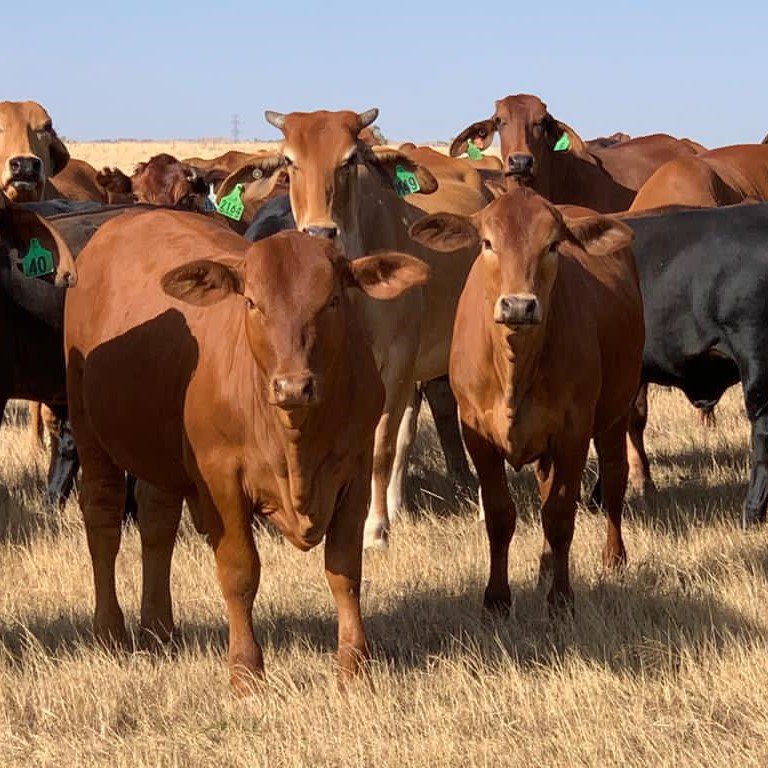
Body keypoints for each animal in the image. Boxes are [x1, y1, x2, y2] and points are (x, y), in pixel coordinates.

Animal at [63, 213, 428, 692]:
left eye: (332, 301)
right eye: (253, 303)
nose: (292, 385)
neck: (295, 440)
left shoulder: (355, 471)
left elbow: (345, 569)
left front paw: (354, 666)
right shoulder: (222, 479)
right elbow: (239, 572)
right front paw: (246, 671)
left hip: (162, 455)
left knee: (157, 520)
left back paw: (159, 629)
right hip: (89, 430)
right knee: (102, 518)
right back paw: (110, 631)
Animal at [412, 186, 644, 612]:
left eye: (552, 245)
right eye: (488, 242)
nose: (519, 305)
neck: (514, 369)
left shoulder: (573, 433)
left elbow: (560, 514)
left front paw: (561, 599)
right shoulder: (477, 434)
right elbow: (501, 515)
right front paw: (496, 600)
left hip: (616, 411)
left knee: (614, 478)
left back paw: (613, 558)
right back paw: (544, 568)